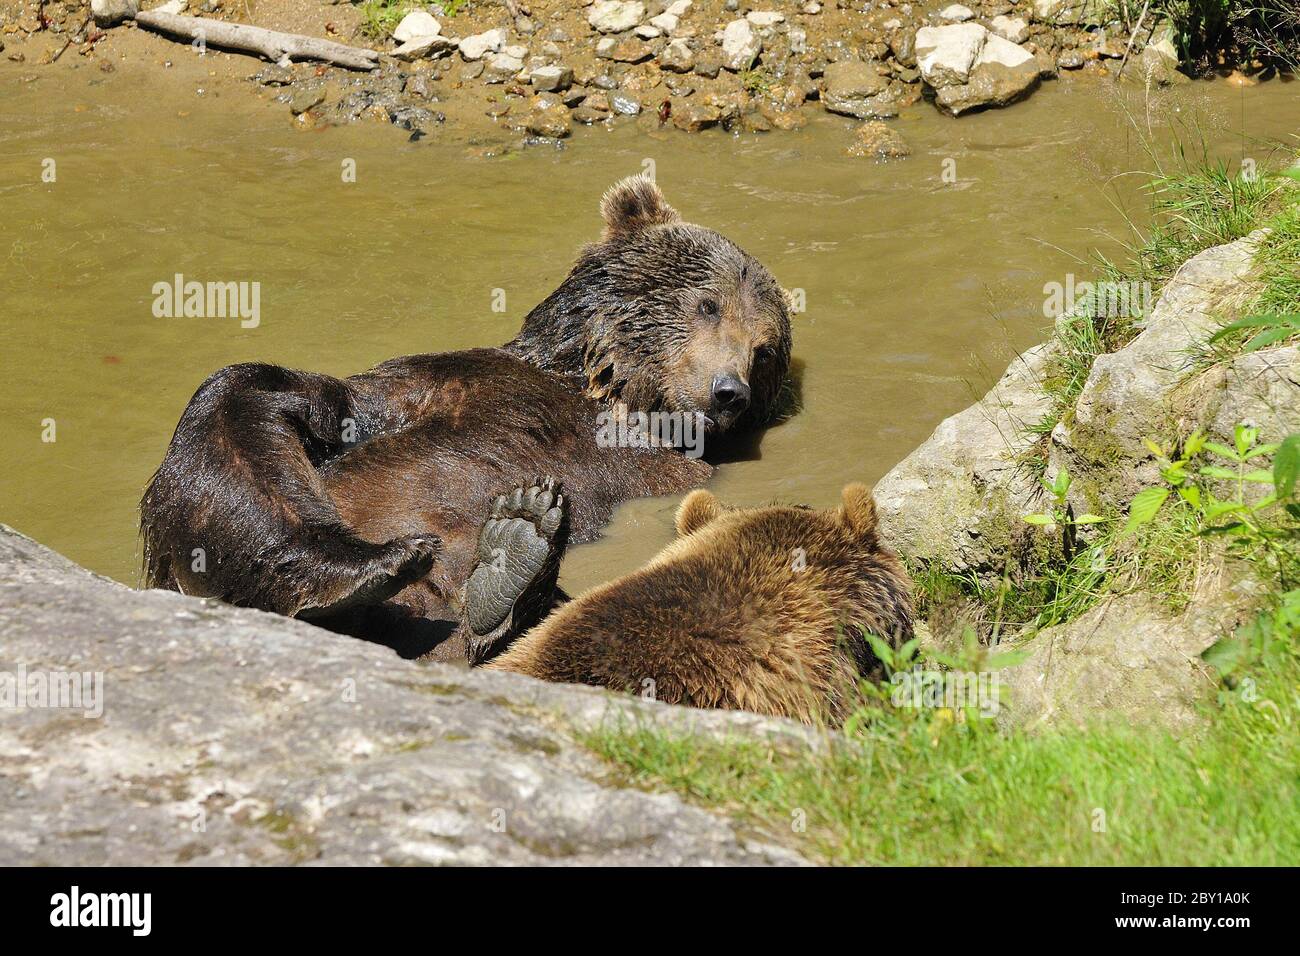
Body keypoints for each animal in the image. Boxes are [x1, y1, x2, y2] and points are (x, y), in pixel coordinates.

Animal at [139, 175, 790, 660]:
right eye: (707, 304)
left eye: (763, 350)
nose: (728, 391)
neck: (604, 393)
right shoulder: (443, 383)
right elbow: (330, 408)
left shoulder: (663, 473)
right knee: (238, 417)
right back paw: (372, 569)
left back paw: (512, 561)